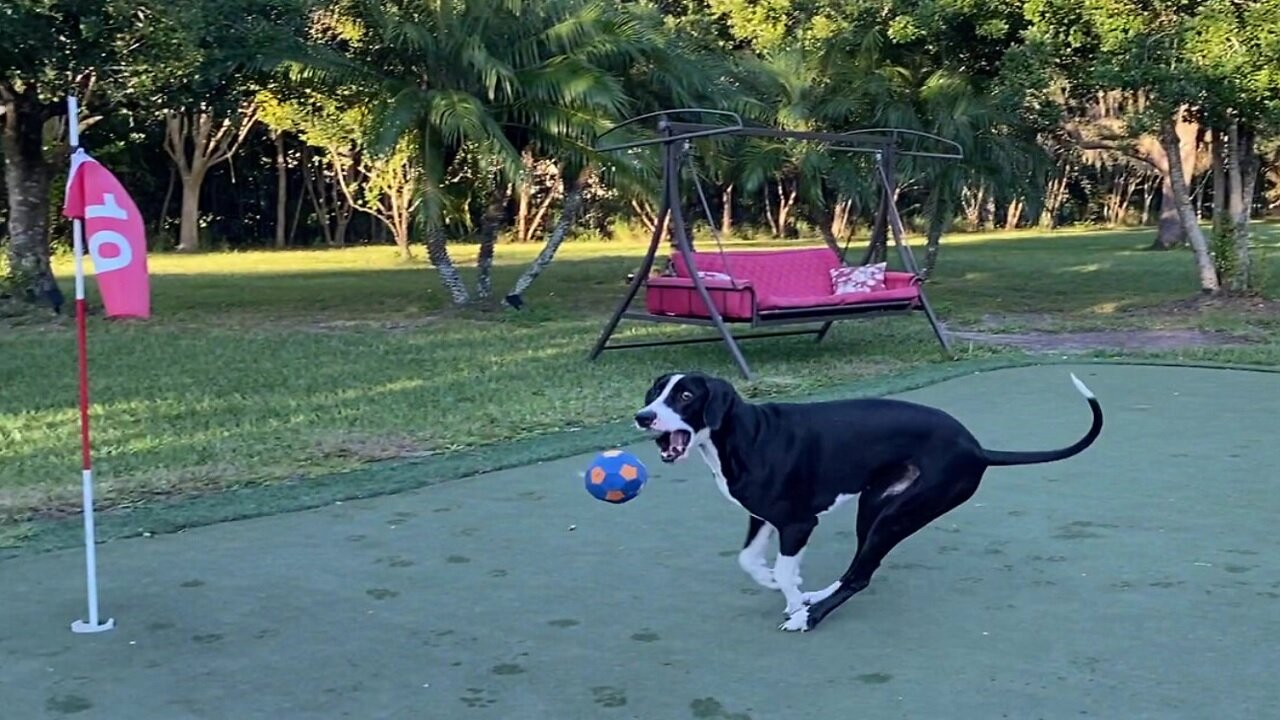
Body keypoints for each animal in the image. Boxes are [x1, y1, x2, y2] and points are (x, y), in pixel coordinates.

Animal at [634, 371, 1105, 630]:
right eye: (654, 393)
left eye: (686, 396)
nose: (642, 417)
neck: (745, 434)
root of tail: (975, 448)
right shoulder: (763, 516)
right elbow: (750, 560)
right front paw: (777, 583)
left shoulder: (798, 523)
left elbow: (784, 569)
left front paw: (790, 600)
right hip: (875, 506)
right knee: (857, 566)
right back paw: (817, 596)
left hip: (899, 515)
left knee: (862, 575)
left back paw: (809, 618)